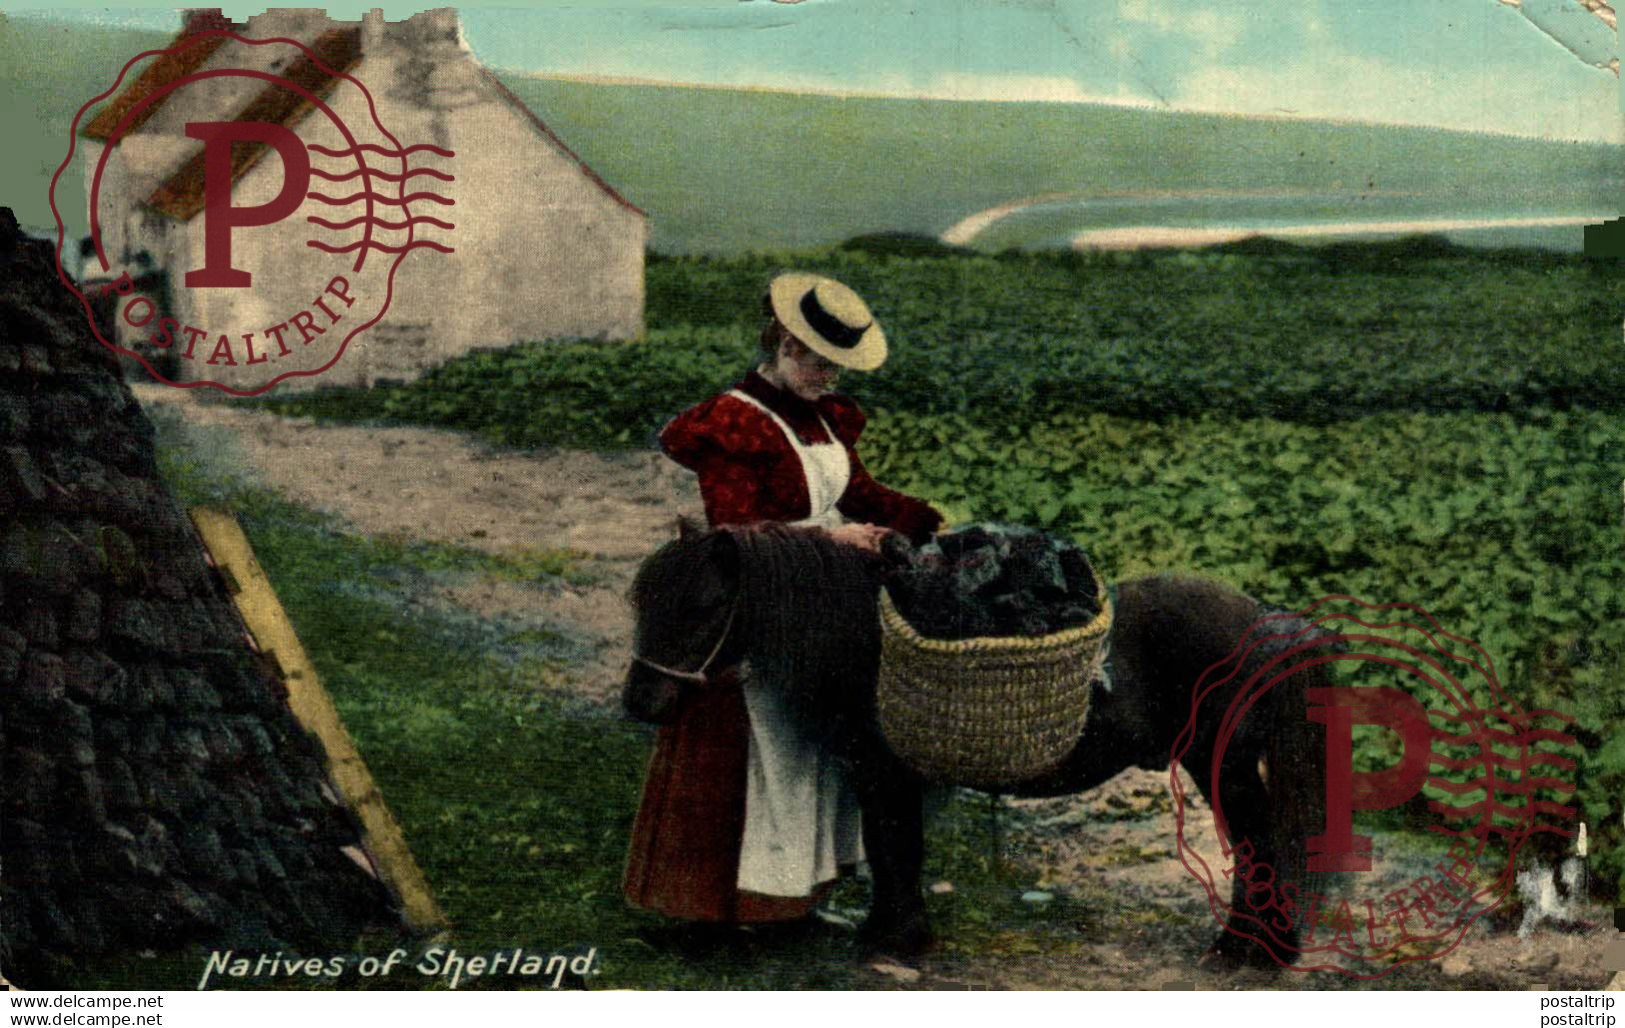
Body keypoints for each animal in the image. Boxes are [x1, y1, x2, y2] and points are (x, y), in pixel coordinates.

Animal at [620, 526, 1332, 967]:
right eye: (643, 600)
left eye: (706, 602)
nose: (640, 701)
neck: (863, 639)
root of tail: (1266, 617)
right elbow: (895, 849)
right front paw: (893, 934)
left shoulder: (885, 773)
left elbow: (894, 846)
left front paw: (894, 940)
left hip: (1222, 764)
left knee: (1257, 842)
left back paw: (1250, 950)